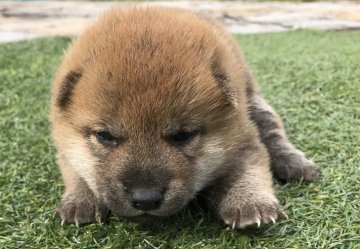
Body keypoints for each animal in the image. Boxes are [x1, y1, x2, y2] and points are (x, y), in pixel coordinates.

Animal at [50, 6, 318, 229]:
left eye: (183, 135)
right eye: (105, 136)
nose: (145, 199)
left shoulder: (243, 138)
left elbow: (248, 168)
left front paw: (250, 202)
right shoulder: (65, 143)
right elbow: (76, 170)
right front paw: (80, 201)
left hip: (255, 102)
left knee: (273, 131)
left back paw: (296, 163)